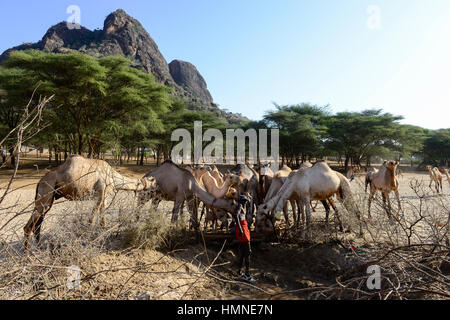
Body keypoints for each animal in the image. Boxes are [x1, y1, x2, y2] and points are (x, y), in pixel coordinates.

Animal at [23, 155, 156, 250]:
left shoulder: (104, 196)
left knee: (37, 226)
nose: (157, 190)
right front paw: (87, 241)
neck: (112, 175)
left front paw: (103, 237)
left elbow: (103, 220)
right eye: (154, 184)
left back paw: (40, 250)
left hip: (49, 199)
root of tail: (39, 182)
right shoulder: (100, 192)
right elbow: (91, 220)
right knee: (28, 227)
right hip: (45, 194)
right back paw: (27, 255)